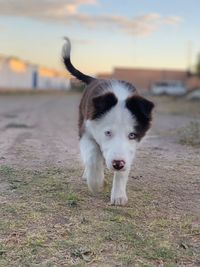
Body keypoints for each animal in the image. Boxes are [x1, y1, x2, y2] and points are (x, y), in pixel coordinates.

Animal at [62, 37, 155, 206]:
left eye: (132, 135)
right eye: (108, 132)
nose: (118, 164)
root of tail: (95, 78)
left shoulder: (131, 149)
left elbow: (123, 170)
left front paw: (119, 195)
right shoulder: (87, 130)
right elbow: (92, 157)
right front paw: (95, 183)